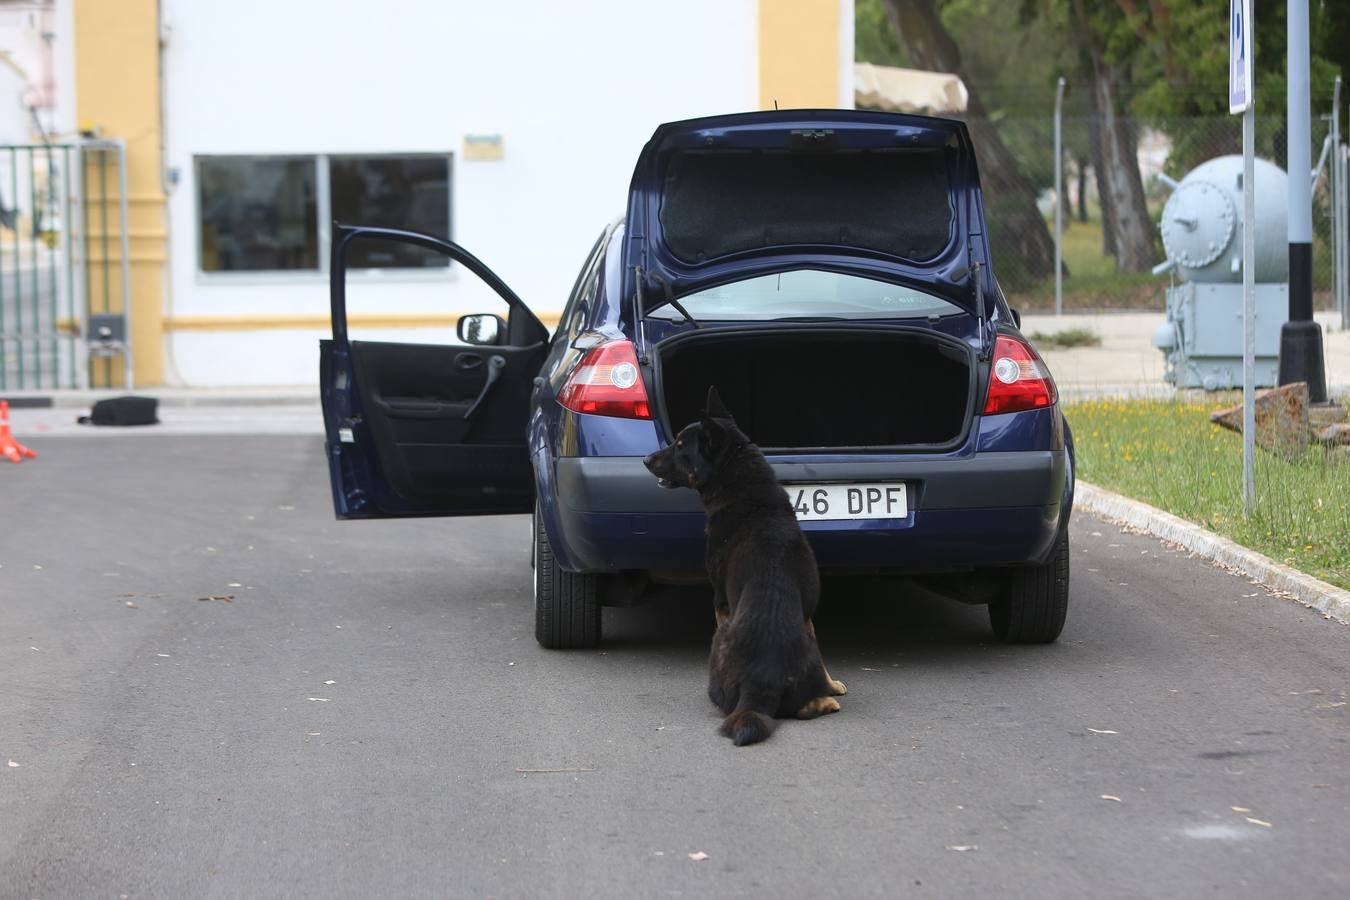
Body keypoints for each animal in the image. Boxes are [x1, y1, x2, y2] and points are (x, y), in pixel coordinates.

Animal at [642, 388, 842, 744]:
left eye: (679, 445)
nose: (645, 459)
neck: (747, 493)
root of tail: (760, 683)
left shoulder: (721, 603)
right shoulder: (807, 612)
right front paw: (833, 685)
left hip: (718, 639)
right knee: (806, 704)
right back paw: (825, 699)